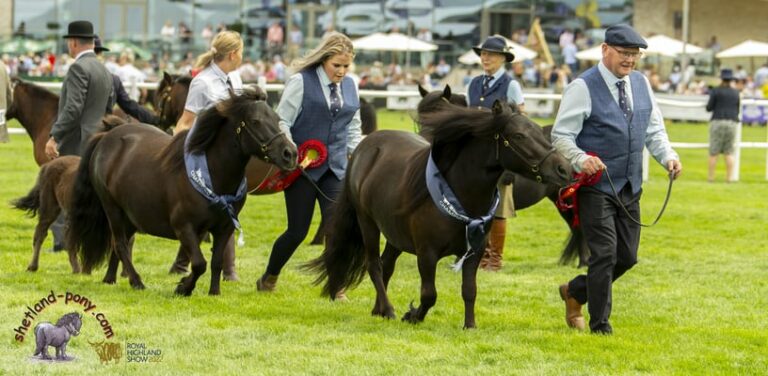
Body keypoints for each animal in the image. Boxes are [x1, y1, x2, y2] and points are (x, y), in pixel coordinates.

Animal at [67, 86, 298, 296]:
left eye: (277, 118)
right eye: (256, 121)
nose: (290, 154)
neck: (213, 179)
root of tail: (107, 137)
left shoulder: (224, 228)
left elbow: (216, 261)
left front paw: (214, 292)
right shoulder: (184, 227)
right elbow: (199, 263)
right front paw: (183, 287)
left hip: (131, 215)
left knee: (118, 245)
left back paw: (110, 278)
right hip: (112, 209)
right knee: (121, 244)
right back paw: (136, 282)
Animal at [304, 100, 572, 328]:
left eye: (539, 132)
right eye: (519, 136)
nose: (564, 169)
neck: (459, 197)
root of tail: (364, 147)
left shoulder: (474, 252)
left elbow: (469, 290)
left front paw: (469, 325)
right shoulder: (427, 253)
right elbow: (429, 294)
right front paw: (412, 315)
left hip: (394, 234)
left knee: (387, 265)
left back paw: (378, 309)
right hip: (367, 222)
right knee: (374, 265)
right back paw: (388, 310)